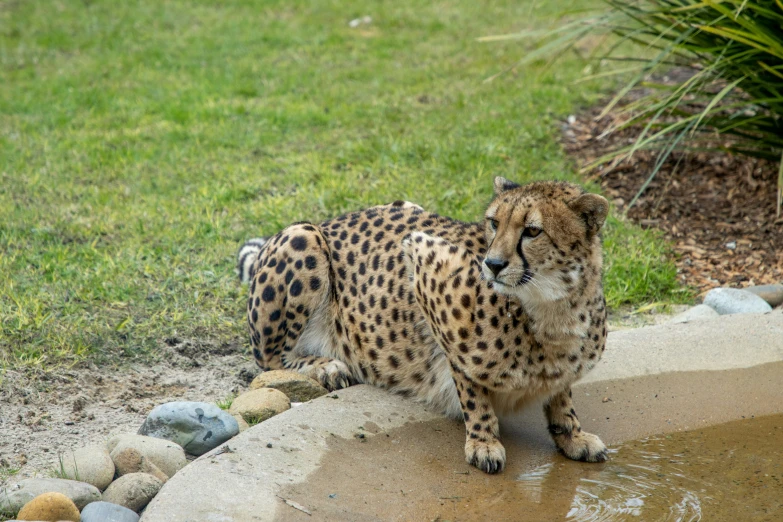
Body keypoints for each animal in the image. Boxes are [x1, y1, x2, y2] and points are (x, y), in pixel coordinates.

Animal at [239, 176, 612, 472]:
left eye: (533, 231)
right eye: (494, 223)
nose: (492, 264)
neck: (552, 307)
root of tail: (332, 219)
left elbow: (561, 394)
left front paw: (573, 436)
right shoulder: (423, 258)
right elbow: (469, 382)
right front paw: (483, 442)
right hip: (303, 235)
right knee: (270, 358)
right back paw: (326, 366)